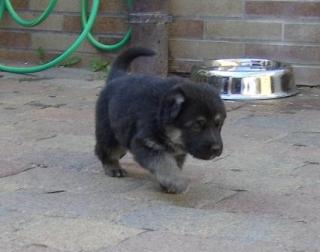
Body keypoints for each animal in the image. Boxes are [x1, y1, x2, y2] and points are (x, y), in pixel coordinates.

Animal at [94, 47, 225, 193]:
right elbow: (165, 164)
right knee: (105, 150)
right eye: (197, 125)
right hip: (110, 134)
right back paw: (113, 167)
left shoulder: (177, 153)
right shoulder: (146, 143)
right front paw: (177, 181)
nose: (216, 149)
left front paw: (167, 184)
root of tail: (118, 76)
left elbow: (171, 166)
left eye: (218, 125)